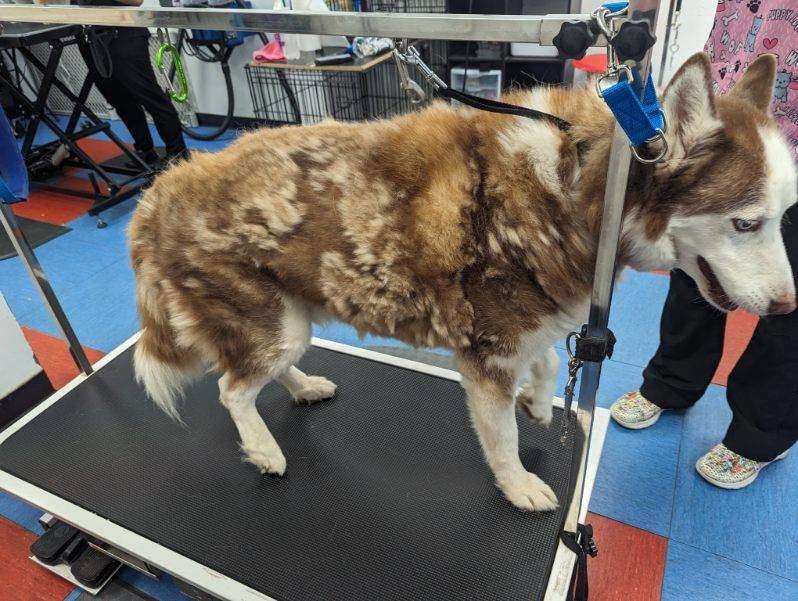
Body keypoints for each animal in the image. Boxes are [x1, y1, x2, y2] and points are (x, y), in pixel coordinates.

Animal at [131, 52, 798, 510]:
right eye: (747, 222)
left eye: (783, 217)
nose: (787, 307)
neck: (575, 185)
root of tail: (161, 191)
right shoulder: (488, 354)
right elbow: (502, 438)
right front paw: (519, 482)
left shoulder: (519, 332)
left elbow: (548, 363)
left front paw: (539, 403)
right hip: (271, 322)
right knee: (232, 390)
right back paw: (266, 449)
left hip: (290, 318)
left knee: (257, 373)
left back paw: (302, 388)